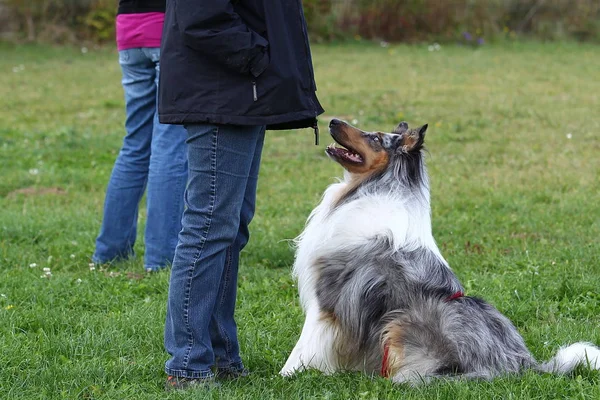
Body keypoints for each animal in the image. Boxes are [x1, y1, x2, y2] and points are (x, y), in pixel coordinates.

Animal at [282, 118, 600, 382]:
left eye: (374, 137)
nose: (333, 120)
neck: (368, 188)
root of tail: (525, 366)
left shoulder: (326, 300)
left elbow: (304, 345)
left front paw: (288, 376)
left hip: (400, 323)